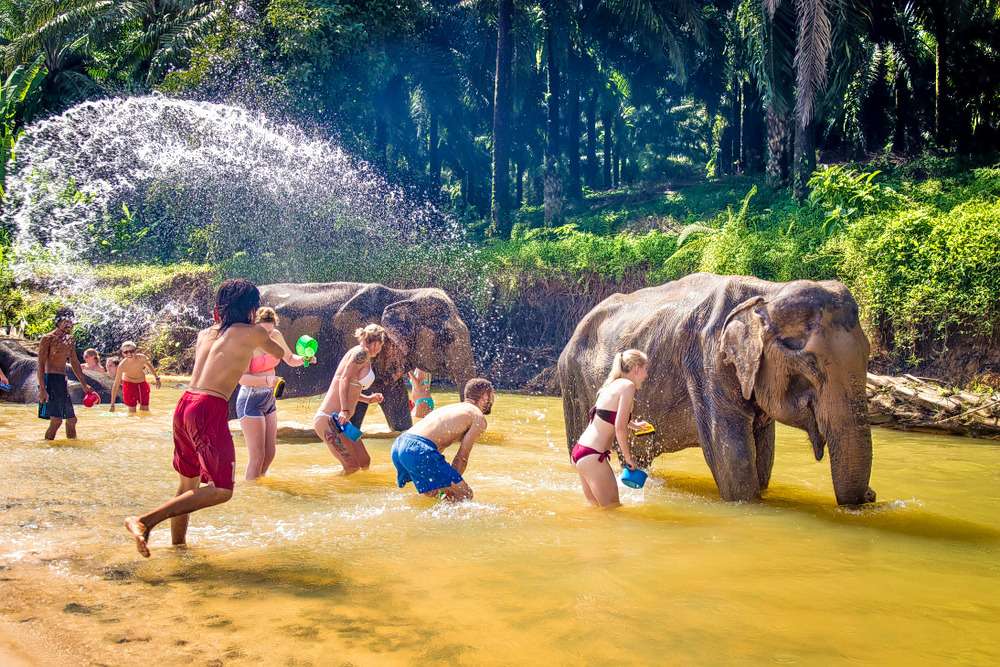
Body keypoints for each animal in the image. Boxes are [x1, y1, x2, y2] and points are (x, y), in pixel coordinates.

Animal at [557, 273, 876, 506]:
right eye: (810, 363)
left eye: (868, 354)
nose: (871, 495)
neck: (767, 293)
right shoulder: (707, 363)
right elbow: (733, 462)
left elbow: (763, 458)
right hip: (571, 384)